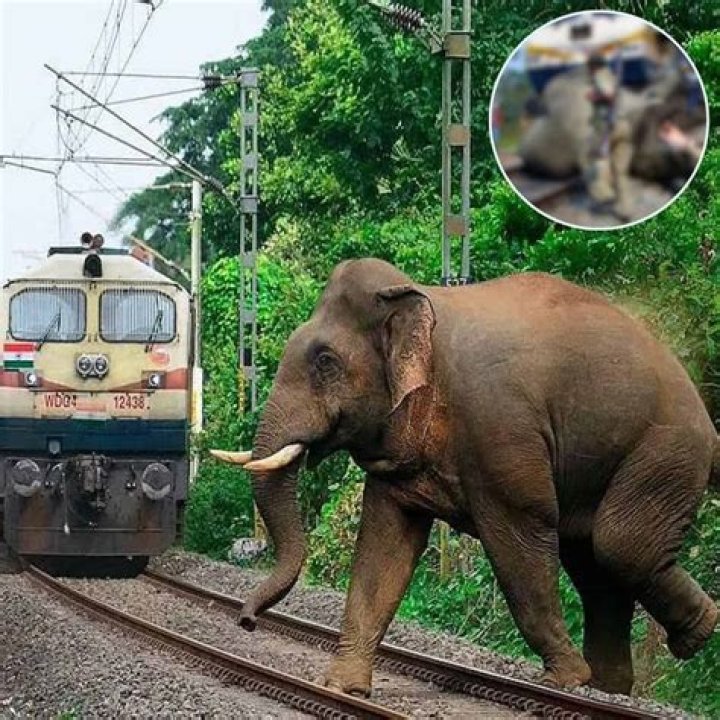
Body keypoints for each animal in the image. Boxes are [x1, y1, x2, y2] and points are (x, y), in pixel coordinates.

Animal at [213, 259, 719, 696]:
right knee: (594, 561)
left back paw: (695, 633)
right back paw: (612, 685)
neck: (419, 300)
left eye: (325, 361)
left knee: (617, 546)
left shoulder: (500, 428)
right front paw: (341, 688)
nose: (246, 621)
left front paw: (565, 678)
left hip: (666, 450)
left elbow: (520, 537)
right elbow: (383, 544)